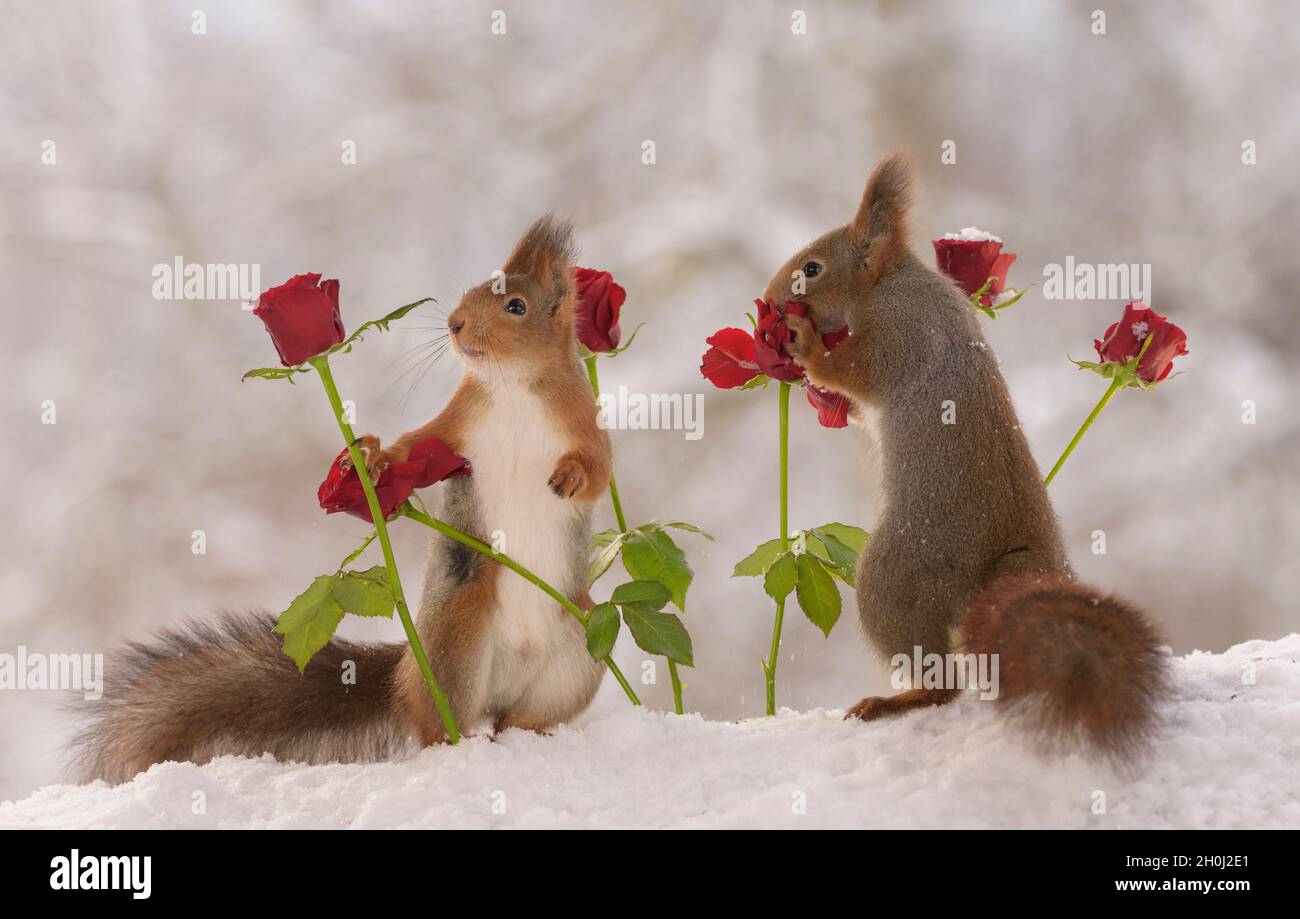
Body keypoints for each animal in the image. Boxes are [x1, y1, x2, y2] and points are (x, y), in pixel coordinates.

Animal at [71, 216, 611, 783]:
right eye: (472, 292)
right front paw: (372, 458)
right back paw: (463, 747)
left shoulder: (586, 424)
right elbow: (414, 443)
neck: (513, 386)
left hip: (582, 648)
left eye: (517, 307)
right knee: (441, 725)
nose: (455, 324)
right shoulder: (456, 423)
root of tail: (407, 674)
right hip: (457, 637)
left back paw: (530, 738)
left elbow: (598, 471)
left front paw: (570, 476)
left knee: (518, 719)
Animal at [764, 152, 1170, 760]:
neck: (889, 284)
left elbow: (855, 370)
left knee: (944, 684)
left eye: (811, 269)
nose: (769, 301)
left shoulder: (900, 335)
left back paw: (894, 701)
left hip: (893, 577)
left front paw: (804, 341)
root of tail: (1005, 563)